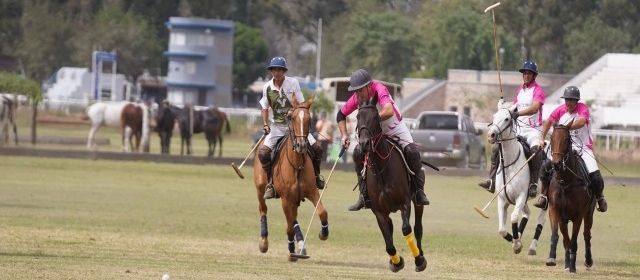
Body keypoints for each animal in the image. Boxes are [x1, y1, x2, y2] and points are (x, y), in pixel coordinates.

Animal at [251, 96, 330, 260]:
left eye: (309, 119)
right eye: (292, 118)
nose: (301, 145)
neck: (297, 165)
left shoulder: (312, 192)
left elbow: (322, 212)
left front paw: (323, 233)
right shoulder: (286, 199)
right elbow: (288, 228)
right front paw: (291, 250)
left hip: (295, 199)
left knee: (293, 219)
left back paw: (301, 245)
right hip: (260, 188)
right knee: (263, 209)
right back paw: (264, 242)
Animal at [358, 97, 428, 272]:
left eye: (376, 117)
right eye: (357, 117)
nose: (364, 144)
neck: (381, 170)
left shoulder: (405, 203)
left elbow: (406, 229)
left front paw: (418, 260)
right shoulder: (379, 212)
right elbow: (388, 241)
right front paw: (396, 262)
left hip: (417, 201)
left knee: (418, 228)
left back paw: (421, 256)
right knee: (391, 229)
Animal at [488, 106, 548, 255]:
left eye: (507, 118)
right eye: (494, 116)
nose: (491, 135)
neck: (509, 163)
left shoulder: (521, 195)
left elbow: (514, 217)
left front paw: (516, 244)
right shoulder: (502, 199)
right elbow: (502, 229)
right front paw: (515, 240)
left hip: (548, 196)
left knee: (541, 218)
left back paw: (532, 247)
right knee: (527, 213)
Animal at [544, 121, 596, 272]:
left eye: (567, 140)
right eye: (551, 138)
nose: (556, 164)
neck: (565, 182)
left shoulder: (578, 215)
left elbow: (573, 241)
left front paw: (573, 267)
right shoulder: (555, 210)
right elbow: (558, 235)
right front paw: (552, 258)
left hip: (589, 213)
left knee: (586, 235)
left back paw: (588, 261)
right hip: (564, 219)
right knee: (565, 239)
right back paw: (567, 263)